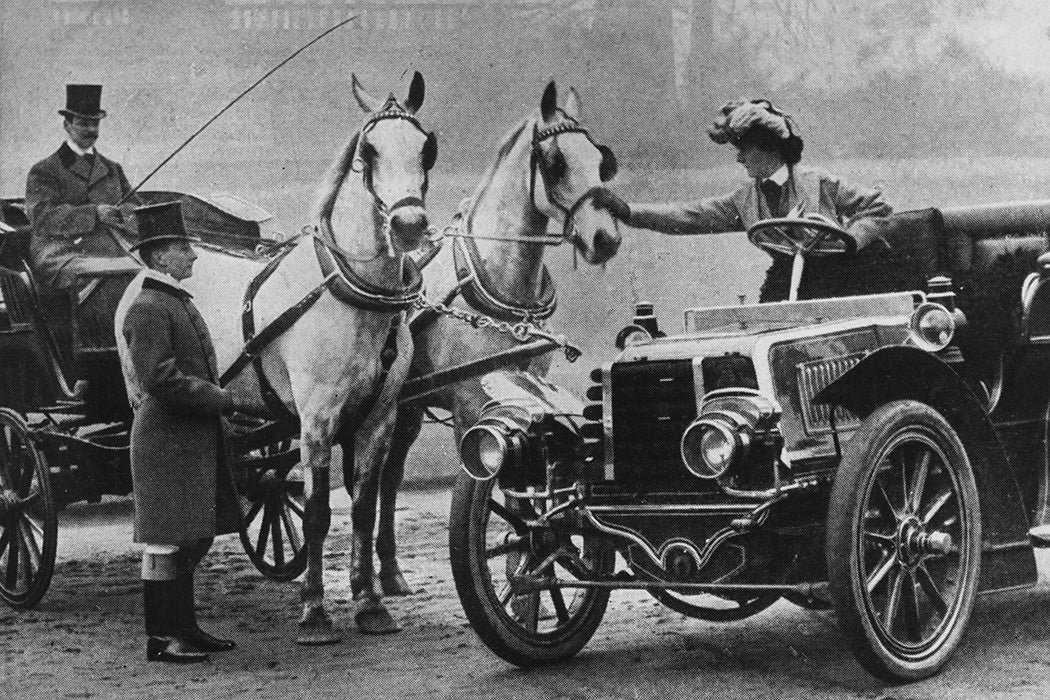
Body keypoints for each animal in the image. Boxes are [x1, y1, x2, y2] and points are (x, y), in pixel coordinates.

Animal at [186, 72, 436, 646]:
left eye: (425, 148)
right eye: (368, 151)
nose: (409, 226)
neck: (352, 296)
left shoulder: (377, 419)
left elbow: (363, 508)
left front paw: (369, 604)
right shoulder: (317, 419)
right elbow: (320, 513)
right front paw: (315, 611)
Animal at [375, 82, 621, 596]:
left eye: (600, 158)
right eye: (555, 162)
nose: (605, 238)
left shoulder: (526, 393)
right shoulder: (471, 405)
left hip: (409, 405)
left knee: (389, 476)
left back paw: (389, 571)